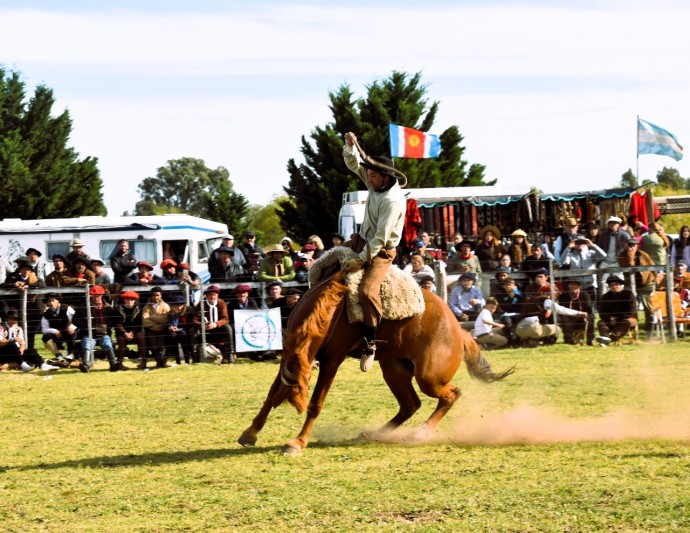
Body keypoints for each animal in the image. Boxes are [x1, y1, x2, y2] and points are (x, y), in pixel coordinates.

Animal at [236, 270, 510, 454]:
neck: (332, 307)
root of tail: (459, 331)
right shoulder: (287, 357)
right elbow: (271, 394)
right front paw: (250, 433)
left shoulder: (332, 360)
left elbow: (316, 403)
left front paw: (297, 442)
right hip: (394, 369)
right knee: (410, 404)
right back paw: (374, 433)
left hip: (429, 377)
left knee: (451, 394)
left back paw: (420, 433)